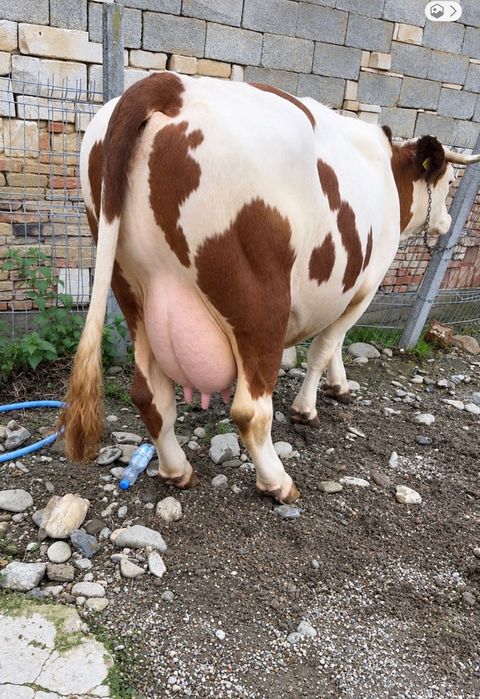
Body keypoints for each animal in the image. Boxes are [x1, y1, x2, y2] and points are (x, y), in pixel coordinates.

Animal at [60, 71, 480, 504]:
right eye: (448, 180)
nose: (447, 223)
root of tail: (169, 84)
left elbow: (329, 347)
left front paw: (339, 386)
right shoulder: (364, 287)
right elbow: (326, 347)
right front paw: (307, 408)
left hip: (131, 290)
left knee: (150, 396)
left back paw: (178, 471)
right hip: (258, 303)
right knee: (250, 410)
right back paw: (277, 481)